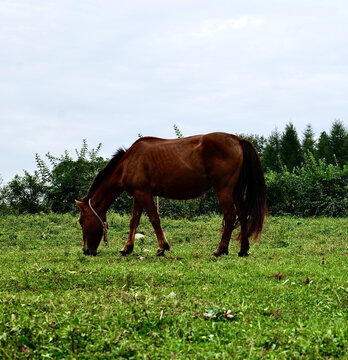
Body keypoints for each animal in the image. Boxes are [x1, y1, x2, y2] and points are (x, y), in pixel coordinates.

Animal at [75, 132, 266, 256]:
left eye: (81, 221)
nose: (85, 250)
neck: (128, 162)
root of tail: (238, 139)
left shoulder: (144, 193)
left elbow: (154, 219)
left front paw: (162, 247)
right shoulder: (138, 195)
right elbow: (133, 221)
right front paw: (127, 248)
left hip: (224, 189)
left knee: (230, 215)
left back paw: (220, 250)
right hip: (236, 191)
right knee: (242, 215)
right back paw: (243, 249)